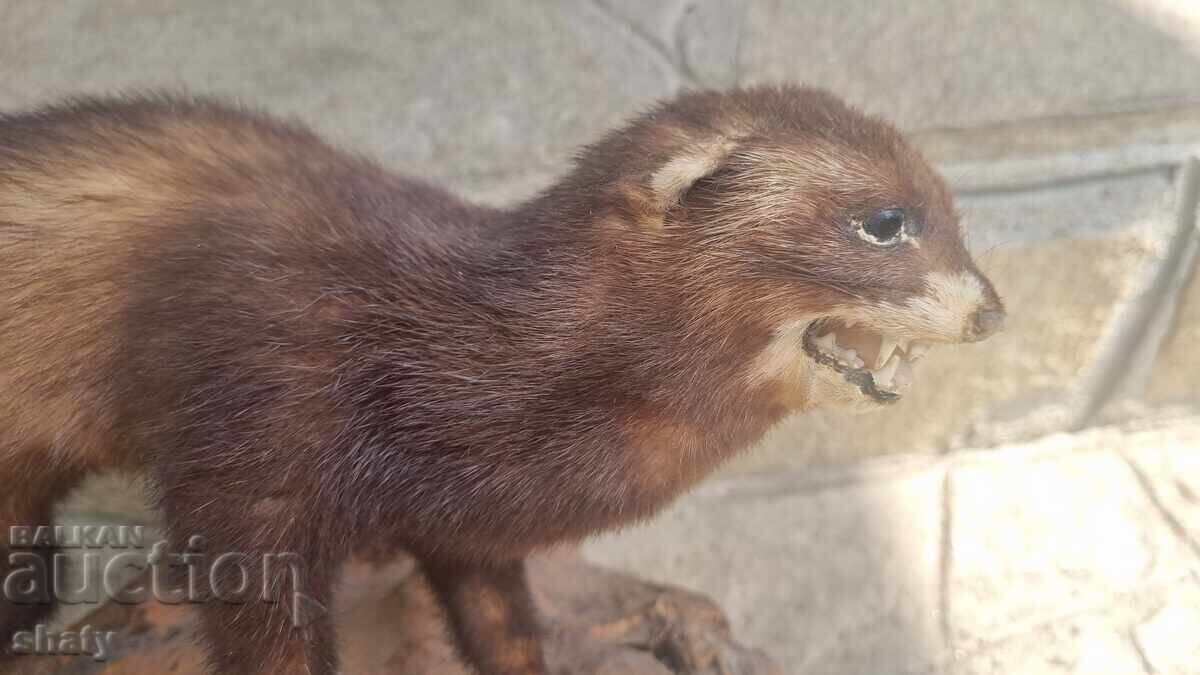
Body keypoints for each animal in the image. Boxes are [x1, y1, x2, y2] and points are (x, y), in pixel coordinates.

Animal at [0, 85, 1004, 674]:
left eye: (957, 214)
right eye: (884, 220)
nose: (991, 308)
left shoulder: (469, 531)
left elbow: (503, 625)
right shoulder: (254, 452)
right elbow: (265, 626)